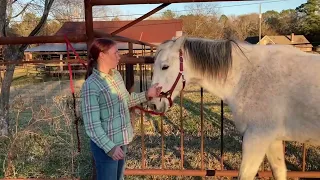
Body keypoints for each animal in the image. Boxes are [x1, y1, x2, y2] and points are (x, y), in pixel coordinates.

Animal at [149, 35, 320, 179]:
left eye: (165, 66)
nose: (153, 103)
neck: (246, 75)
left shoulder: (257, 138)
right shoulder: (273, 140)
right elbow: (279, 171)